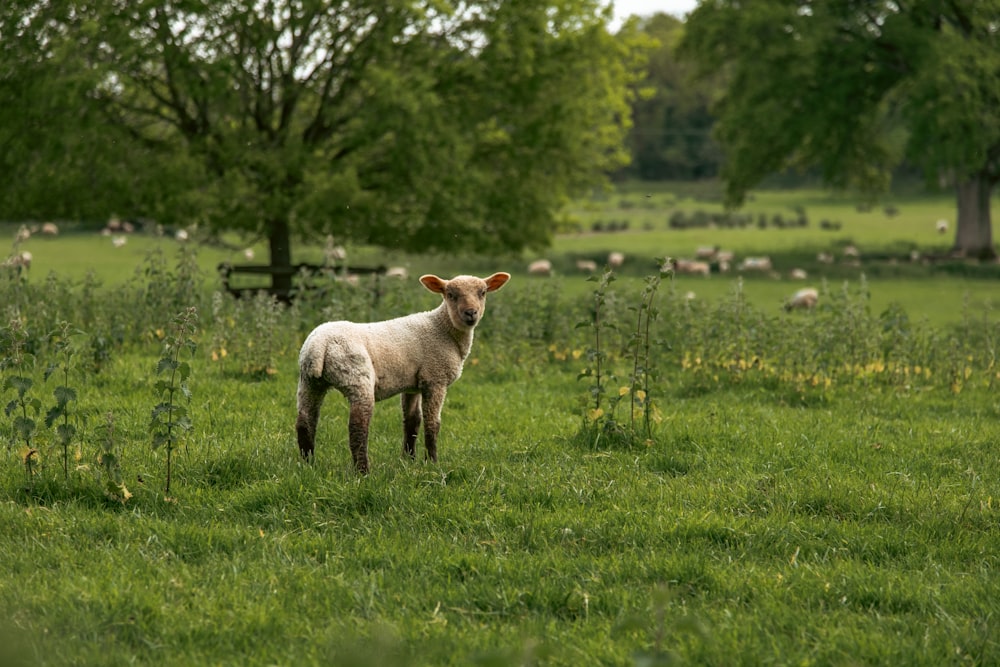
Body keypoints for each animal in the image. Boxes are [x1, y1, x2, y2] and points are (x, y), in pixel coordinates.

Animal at [292, 268, 512, 472]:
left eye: (483, 292)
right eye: (450, 294)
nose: (471, 313)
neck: (443, 329)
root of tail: (319, 345)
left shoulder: (413, 384)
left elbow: (412, 422)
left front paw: (409, 460)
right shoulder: (435, 379)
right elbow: (432, 424)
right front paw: (432, 463)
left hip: (309, 381)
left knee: (305, 422)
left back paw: (308, 465)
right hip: (356, 376)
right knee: (357, 427)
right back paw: (363, 472)